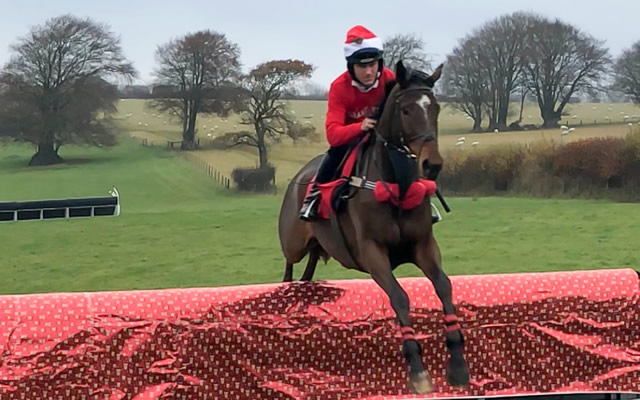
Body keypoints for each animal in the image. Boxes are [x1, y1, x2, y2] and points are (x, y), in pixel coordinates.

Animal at [276, 61, 470, 396]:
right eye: (405, 110)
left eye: (435, 107)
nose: (432, 165)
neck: (397, 186)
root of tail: (297, 178)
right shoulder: (372, 253)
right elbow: (400, 297)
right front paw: (417, 371)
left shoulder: (423, 245)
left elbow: (444, 287)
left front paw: (457, 364)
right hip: (293, 244)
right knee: (289, 271)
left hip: (317, 248)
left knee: (307, 274)